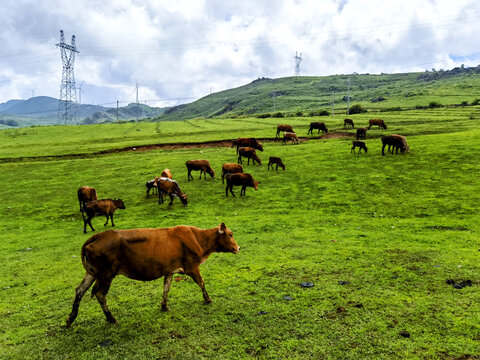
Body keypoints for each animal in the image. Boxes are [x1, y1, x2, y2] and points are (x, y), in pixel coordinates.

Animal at [66, 222, 239, 326]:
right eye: (230, 234)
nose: (238, 248)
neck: (198, 239)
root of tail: (100, 235)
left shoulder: (169, 270)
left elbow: (166, 288)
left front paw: (164, 306)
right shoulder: (191, 267)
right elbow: (202, 282)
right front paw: (208, 299)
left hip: (93, 273)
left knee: (80, 290)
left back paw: (70, 318)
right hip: (106, 274)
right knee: (100, 294)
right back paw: (111, 318)